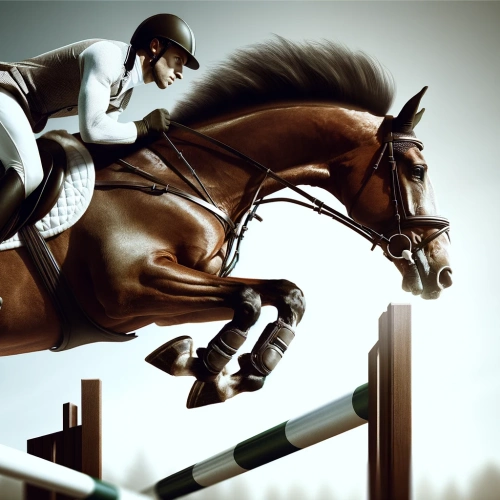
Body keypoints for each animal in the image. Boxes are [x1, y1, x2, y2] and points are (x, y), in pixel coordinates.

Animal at [0, 39, 452, 406]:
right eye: (417, 170)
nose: (443, 270)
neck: (180, 176)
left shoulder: (161, 299)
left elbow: (286, 294)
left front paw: (235, 369)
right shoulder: (131, 285)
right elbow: (250, 300)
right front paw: (203, 364)